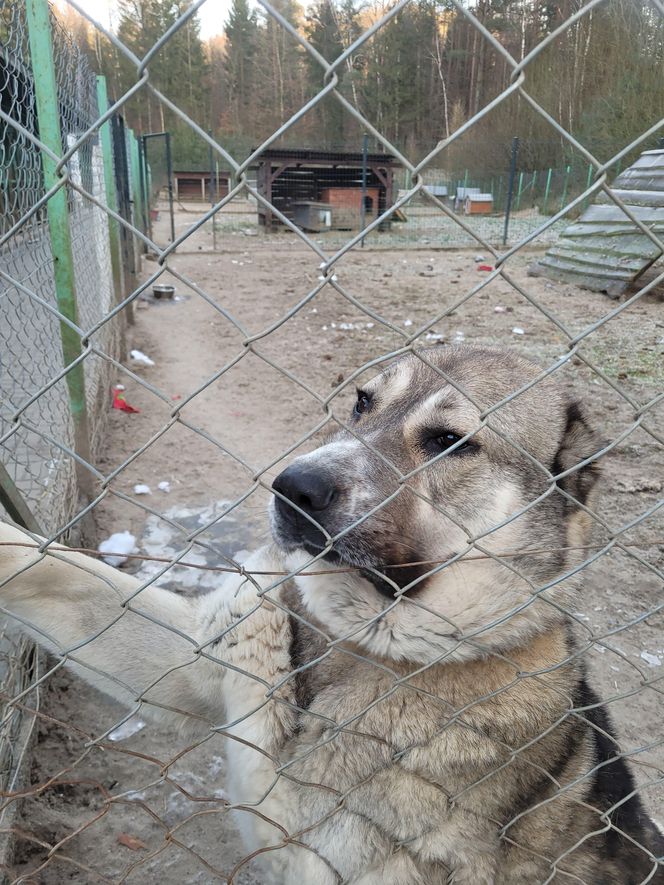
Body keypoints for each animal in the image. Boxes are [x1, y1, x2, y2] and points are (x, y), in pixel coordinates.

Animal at [0, 348, 660, 884]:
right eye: (363, 403)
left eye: (450, 441)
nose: (291, 486)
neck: (362, 644)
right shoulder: (195, 655)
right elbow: (54, 571)